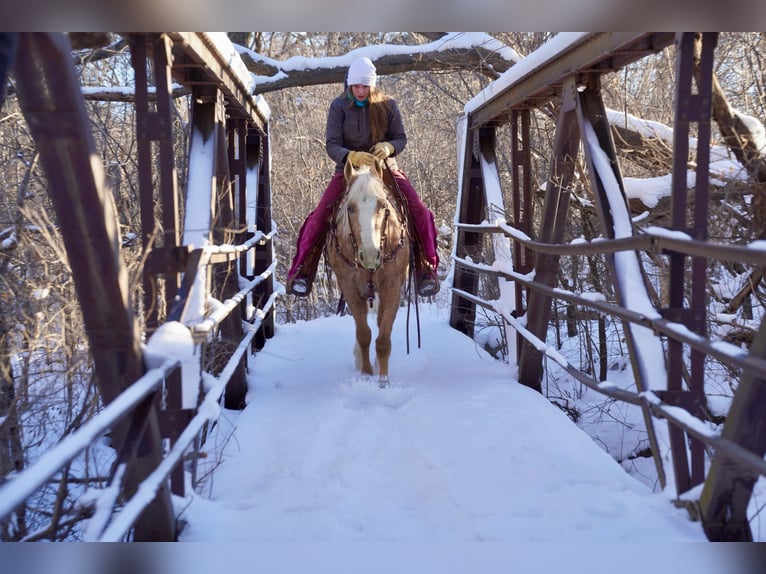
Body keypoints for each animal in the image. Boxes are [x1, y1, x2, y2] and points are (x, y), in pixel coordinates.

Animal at [328, 160, 412, 390]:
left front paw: (383, 382)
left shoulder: (392, 290)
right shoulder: (350, 290)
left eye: (383, 206)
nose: (370, 255)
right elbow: (364, 334)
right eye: (350, 207)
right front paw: (366, 375)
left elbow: (383, 339)